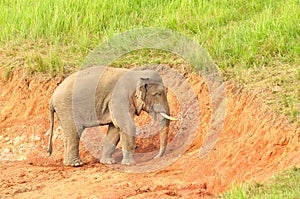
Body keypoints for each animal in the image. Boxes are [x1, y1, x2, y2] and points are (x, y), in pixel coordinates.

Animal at [47, 66, 177, 166]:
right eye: (159, 94)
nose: (155, 157)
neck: (137, 74)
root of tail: (52, 97)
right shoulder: (119, 97)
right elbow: (127, 125)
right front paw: (130, 164)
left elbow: (114, 129)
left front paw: (108, 162)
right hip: (66, 108)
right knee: (75, 131)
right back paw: (76, 164)